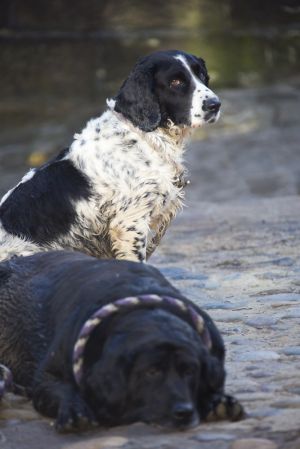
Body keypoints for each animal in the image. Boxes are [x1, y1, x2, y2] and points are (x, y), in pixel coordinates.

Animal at [0, 250, 244, 428]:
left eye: (190, 371)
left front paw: (218, 402)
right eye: (151, 372)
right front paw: (74, 409)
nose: (183, 411)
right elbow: (61, 389)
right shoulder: (47, 377)